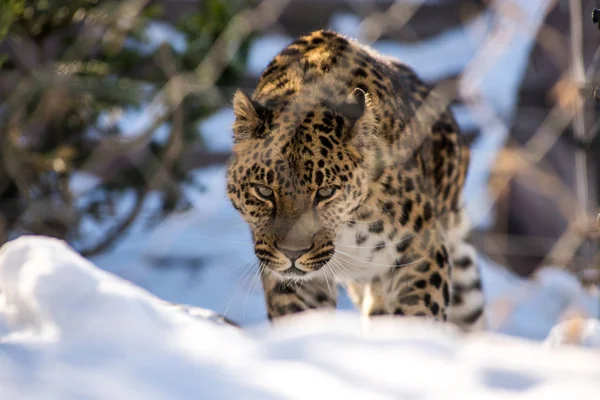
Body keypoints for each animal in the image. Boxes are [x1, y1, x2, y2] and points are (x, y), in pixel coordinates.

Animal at [227, 28, 486, 332]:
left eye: (326, 192)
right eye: (264, 191)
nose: (293, 253)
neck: (346, 229)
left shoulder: (421, 253)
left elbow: (419, 315)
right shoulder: (291, 280)